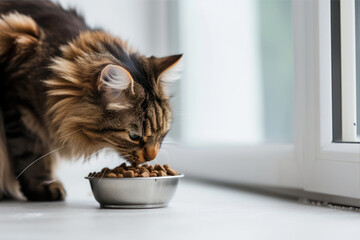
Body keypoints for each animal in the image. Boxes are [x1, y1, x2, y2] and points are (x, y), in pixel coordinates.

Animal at [0, 1, 183, 201]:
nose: (151, 157)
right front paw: (42, 186)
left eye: (163, 132)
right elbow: (31, 155)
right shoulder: (18, 107)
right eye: (134, 136)